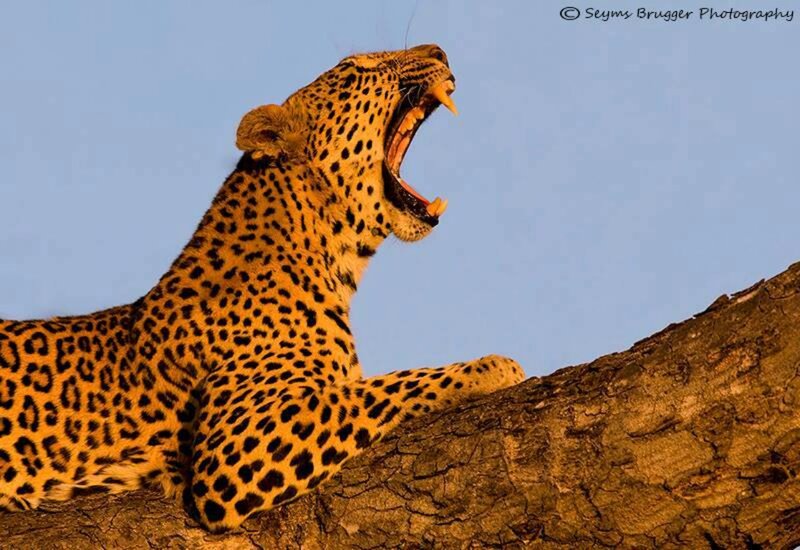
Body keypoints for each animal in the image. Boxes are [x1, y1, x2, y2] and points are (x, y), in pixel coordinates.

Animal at [0, 44, 525, 532]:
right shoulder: (232, 445)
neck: (332, 258)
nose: (440, 51)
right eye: (356, 68)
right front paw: (491, 367)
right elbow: (384, 386)